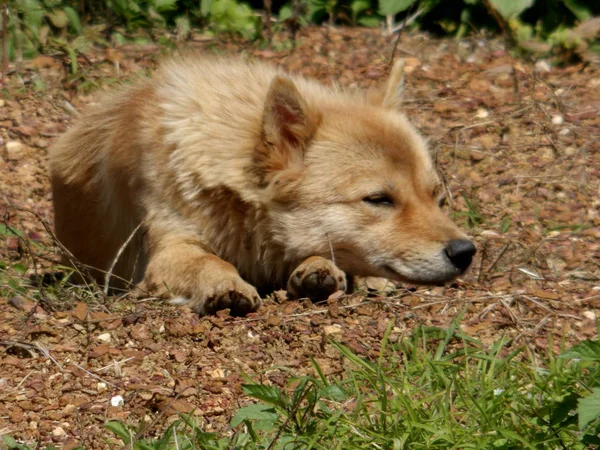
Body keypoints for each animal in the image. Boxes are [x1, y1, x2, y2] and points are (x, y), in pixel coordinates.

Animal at [49, 56, 476, 314]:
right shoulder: (169, 248)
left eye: (435, 197)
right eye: (378, 199)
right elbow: (208, 260)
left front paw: (318, 270)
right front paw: (223, 284)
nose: (466, 252)